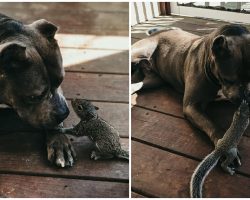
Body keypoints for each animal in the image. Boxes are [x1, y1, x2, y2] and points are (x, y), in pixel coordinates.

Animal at [131, 25, 250, 169]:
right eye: (228, 79)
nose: (245, 98)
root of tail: (158, 31)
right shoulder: (192, 106)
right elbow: (211, 124)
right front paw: (225, 149)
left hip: (154, 80)